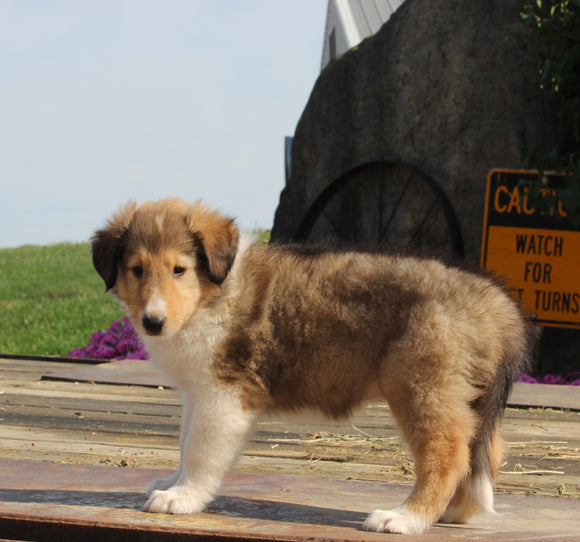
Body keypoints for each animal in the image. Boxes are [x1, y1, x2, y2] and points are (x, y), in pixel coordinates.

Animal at [93, 199, 536, 536]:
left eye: (179, 269)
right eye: (136, 269)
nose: (153, 322)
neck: (211, 295)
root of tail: (497, 302)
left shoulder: (224, 395)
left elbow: (200, 452)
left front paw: (182, 497)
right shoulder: (197, 392)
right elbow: (185, 443)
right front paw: (171, 483)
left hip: (421, 384)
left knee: (449, 456)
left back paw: (405, 518)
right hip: (466, 395)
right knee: (486, 450)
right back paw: (454, 512)